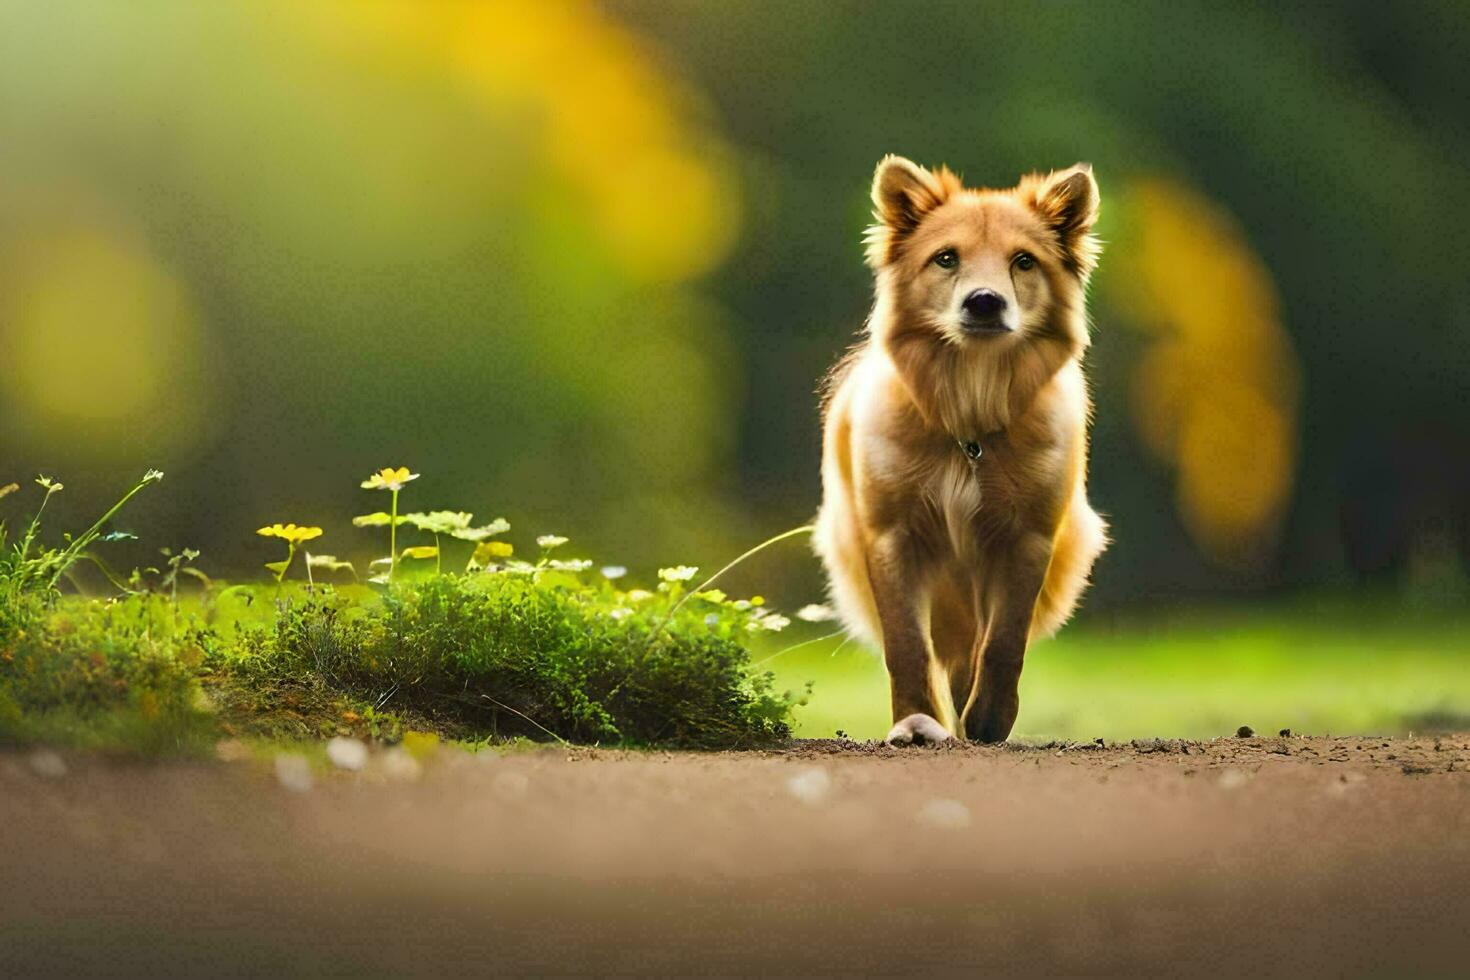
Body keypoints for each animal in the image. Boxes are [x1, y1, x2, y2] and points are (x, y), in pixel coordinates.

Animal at [811, 157, 1105, 746]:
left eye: (1023, 261)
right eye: (946, 258)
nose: (985, 301)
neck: (968, 415)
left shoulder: (1028, 539)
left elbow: (1003, 643)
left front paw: (989, 718)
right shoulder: (891, 537)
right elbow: (906, 646)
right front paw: (914, 721)